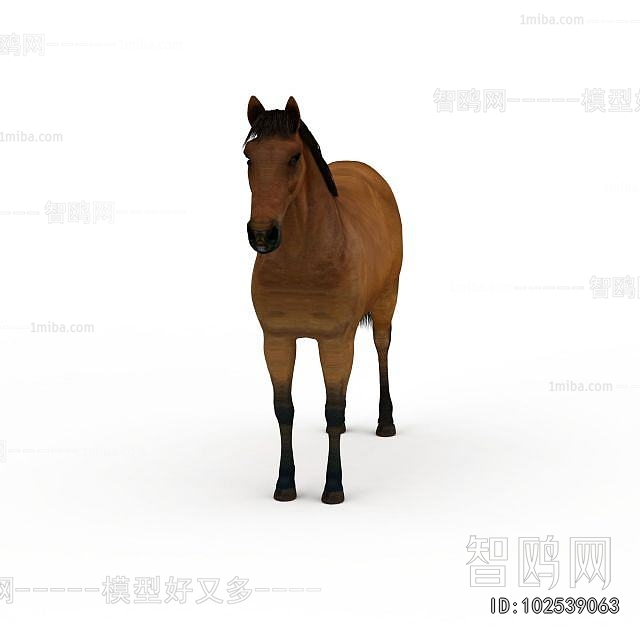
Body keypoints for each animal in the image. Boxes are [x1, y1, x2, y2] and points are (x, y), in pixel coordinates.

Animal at [244, 96, 403, 504]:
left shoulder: (334, 339)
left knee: (381, 349)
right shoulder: (277, 340)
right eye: (249, 157)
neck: (304, 258)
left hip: (385, 302)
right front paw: (284, 485)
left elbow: (333, 408)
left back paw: (386, 423)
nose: (262, 235)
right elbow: (284, 410)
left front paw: (333, 487)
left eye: (293, 157)